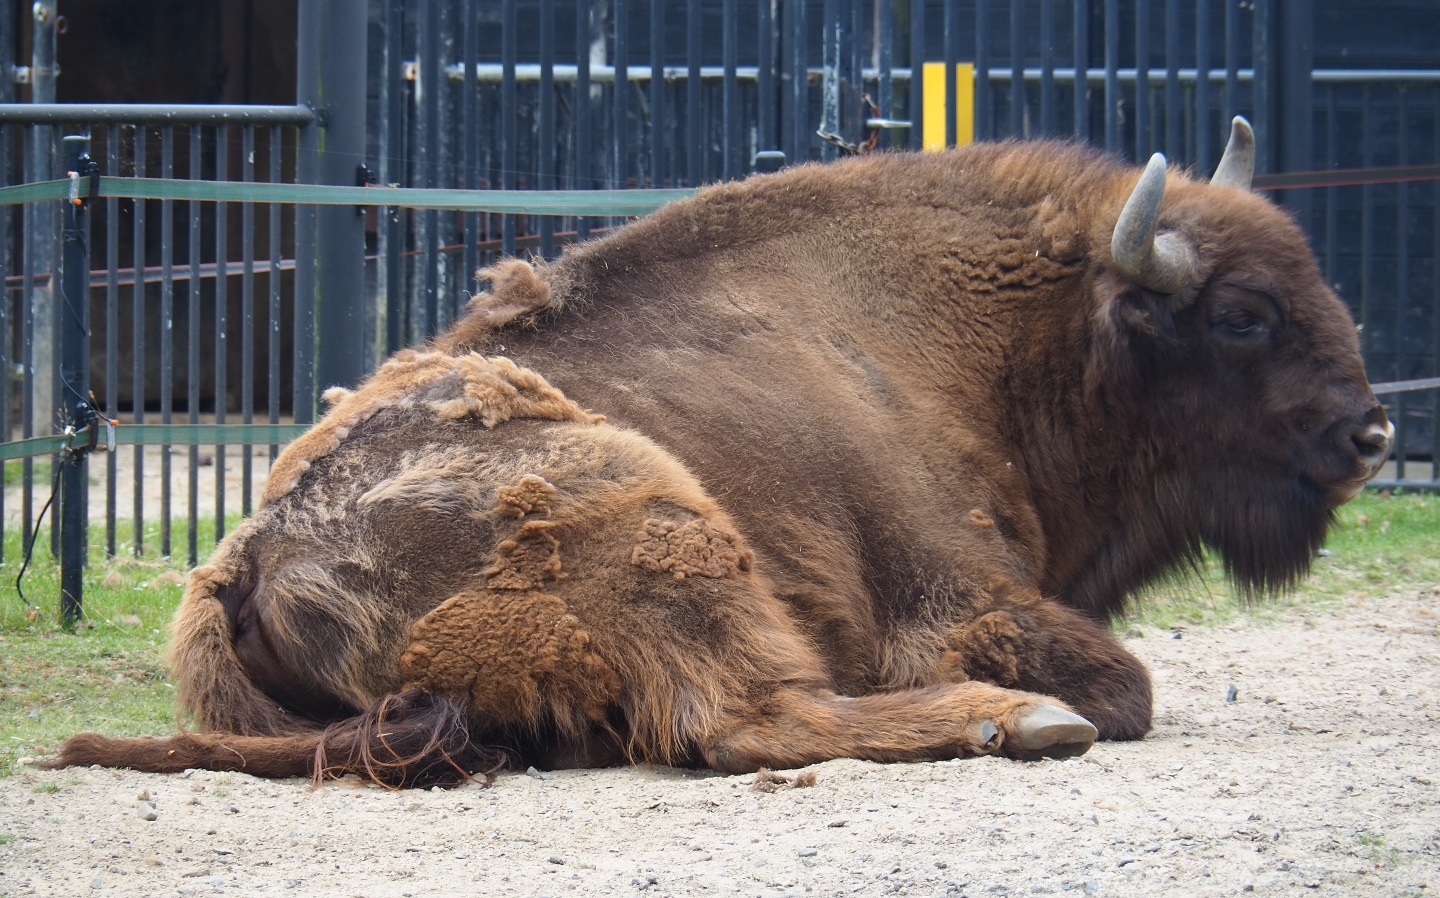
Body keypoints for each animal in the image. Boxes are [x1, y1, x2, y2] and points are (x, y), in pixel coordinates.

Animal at [50, 118, 1391, 787]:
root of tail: (250, 557)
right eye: (1243, 313)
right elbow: (1128, 685)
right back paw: (1019, 721)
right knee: (747, 722)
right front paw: (1054, 703)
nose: (1371, 433)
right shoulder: (957, 598)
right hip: (654, 514)